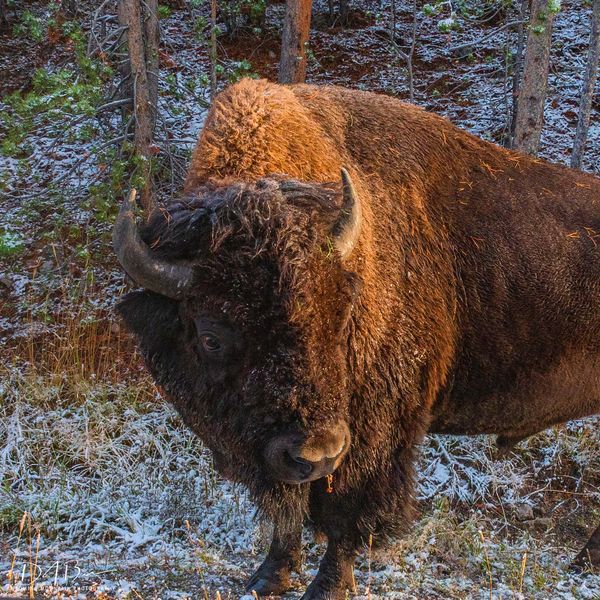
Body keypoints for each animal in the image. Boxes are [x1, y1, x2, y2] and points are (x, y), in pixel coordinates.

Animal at [113, 79, 600, 600]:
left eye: (342, 316)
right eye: (211, 337)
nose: (316, 451)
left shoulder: (373, 433)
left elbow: (345, 511)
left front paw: (328, 587)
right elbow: (291, 507)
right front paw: (269, 576)